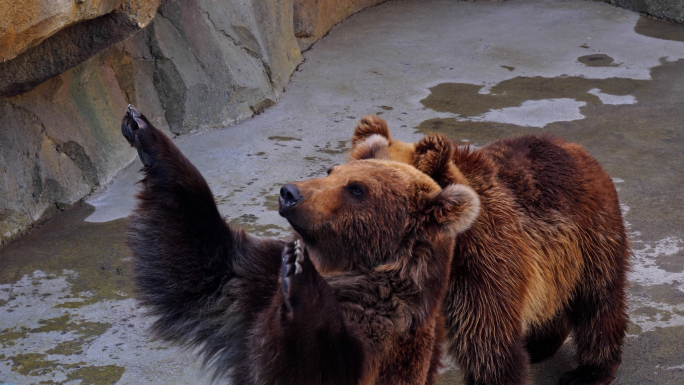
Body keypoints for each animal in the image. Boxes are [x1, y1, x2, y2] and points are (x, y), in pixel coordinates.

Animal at [119, 106, 480, 384]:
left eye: (356, 189)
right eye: (332, 170)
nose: (289, 193)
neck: (341, 264)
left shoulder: (386, 329)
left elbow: (320, 363)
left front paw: (299, 273)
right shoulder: (252, 286)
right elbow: (196, 266)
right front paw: (142, 129)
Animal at [352, 116, 632, 384]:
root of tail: (576, 149)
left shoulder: (481, 269)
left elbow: (487, 342)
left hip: (590, 236)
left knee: (597, 301)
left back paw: (589, 370)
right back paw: (539, 344)